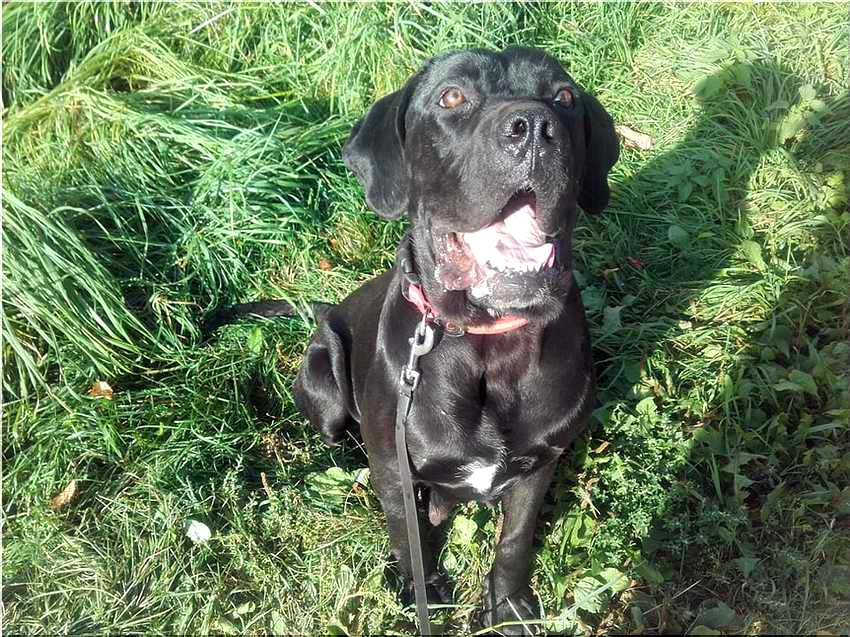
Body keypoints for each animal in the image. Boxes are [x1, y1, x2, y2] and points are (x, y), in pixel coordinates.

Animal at [215, 47, 618, 633]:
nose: (534, 127)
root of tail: (327, 309)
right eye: (451, 96)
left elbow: (515, 539)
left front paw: (507, 605)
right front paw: (420, 590)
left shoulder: (540, 463)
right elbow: (409, 536)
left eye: (564, 96)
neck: (489, 344)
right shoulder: (396, 471)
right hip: (323, 376)